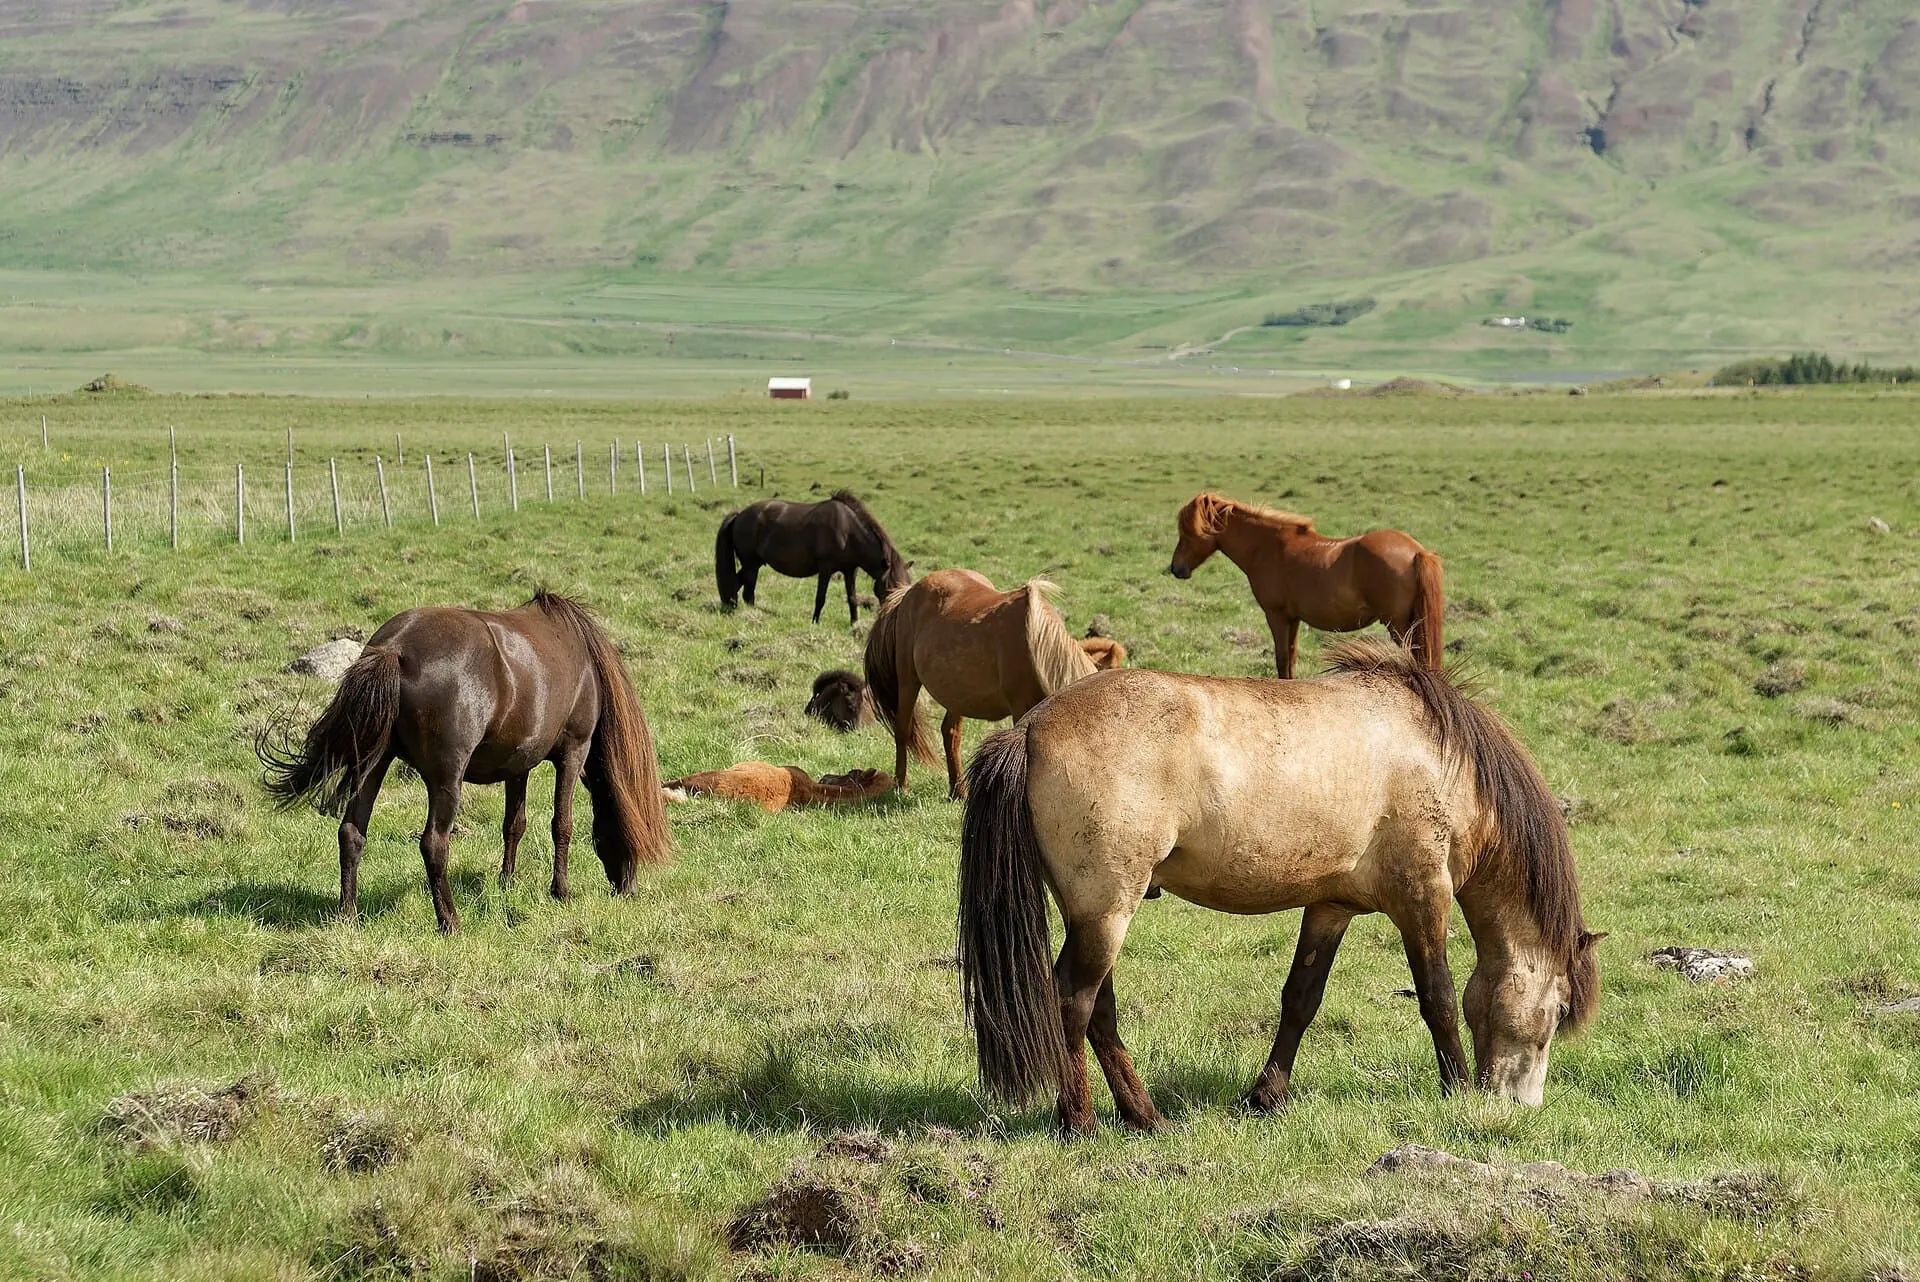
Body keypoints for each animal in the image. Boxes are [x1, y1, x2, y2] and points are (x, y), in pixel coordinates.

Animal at [258, 591, 673, 933]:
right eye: (634, 832)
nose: (629, 888)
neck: (584, 662)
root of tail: (395, 648)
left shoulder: (519, 763)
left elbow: (514, 824)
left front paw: (507, 882)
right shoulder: (574, 750)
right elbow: (563, 824)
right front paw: (561, 892)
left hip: (372, 764)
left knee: (351, 832)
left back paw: (348, 916)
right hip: (446, 778)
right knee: (434, 844)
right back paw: (450, 921)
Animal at [715, 490, 912, 625]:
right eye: (889, 588)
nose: (894, 617)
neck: (847, 530)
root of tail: (739, 515)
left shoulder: (850, 570)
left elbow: (852, 598)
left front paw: (854, 624)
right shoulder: (825, 568)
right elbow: (820, 598)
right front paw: (815, 622)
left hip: (753, 564)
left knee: (739, 586)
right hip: (751, 564)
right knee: (746, 591)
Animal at [863, 570, 1112, 798]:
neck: (1036, 644)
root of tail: (909, 591)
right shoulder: (1021, 709)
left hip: (956, 694)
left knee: (950, 733)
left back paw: (958, 792)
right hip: (908, 680)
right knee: (903, 729)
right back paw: (902, 787)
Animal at [958, 638, 1601, 1135]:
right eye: (1560, 1008)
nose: (1520, 1106)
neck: (1440, 756)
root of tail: (1030, 728)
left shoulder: (1330, 906)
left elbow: (1301, 999)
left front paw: (1266, 1096)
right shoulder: (1422, 897)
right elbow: (1438, 998)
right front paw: (1460, 1091)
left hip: (1093, 910)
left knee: (1100, 1011)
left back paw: (1144, 1116)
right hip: (1107, 906)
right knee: (1073, 1001)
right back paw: (1080, 1122)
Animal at [1168, 492, 1444, 677]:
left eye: (1189, 533)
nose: (1175, 569)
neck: (1268, 548)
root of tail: (1417, 552)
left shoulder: (1276, 616)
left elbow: (1281, 660)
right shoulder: (1293, 619)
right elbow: (1290, 659)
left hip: (1399, 625)